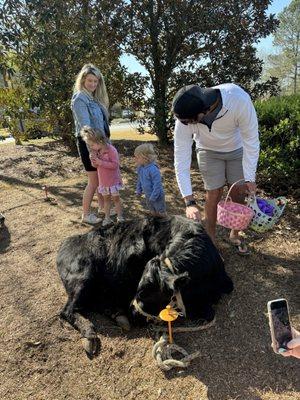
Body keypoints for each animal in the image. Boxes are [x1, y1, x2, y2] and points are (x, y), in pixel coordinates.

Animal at [57, 216, 233, 356]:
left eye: (143, 293)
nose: (132, 312)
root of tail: (67, 242)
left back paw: (118, 315)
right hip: (83, 276)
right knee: (67, 310)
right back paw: (90, 334)